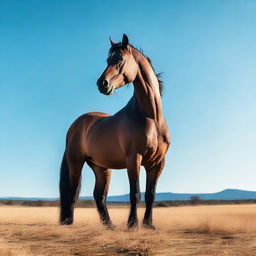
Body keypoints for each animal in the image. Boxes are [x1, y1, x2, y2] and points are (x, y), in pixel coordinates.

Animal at [59, 34, 171, 230]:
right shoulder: (134, 159)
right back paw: (69, 223)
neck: (151, 117)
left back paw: (109, 226)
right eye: (107, 60)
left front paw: (149, 225)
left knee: (99, 195)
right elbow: (135, 193)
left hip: (101, 167)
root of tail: (75, 125)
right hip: (76, 163)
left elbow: (151, 194)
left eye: (119, 59)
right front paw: (133, 225)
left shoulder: (157, 163)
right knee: (72, 193)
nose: (102, 84)